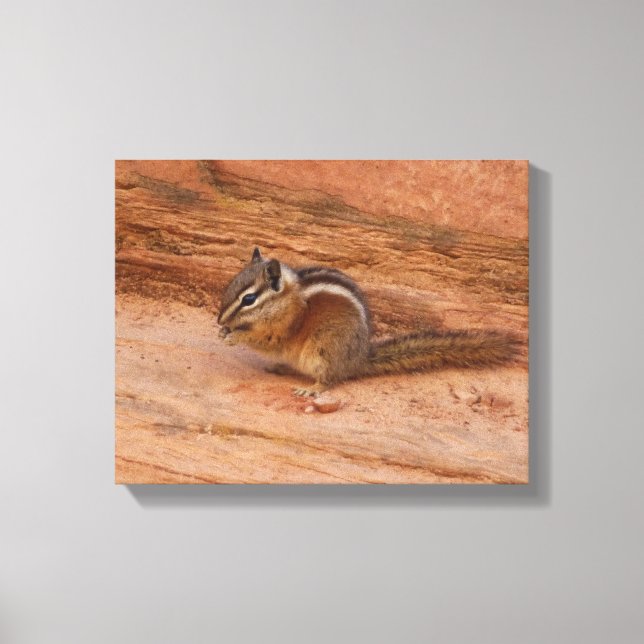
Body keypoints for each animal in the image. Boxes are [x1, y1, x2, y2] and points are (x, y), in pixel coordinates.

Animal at [217, 248, 519, 397]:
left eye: (249, 299)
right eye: (231, 286)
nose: (219, 318)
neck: (286, 299)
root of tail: (358, 358)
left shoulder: (285, 327)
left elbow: (265, 340)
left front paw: (234, 335)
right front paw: (223, 331)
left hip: (323, 350)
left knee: (329, 379)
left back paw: (311, 389)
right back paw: (279, 368)